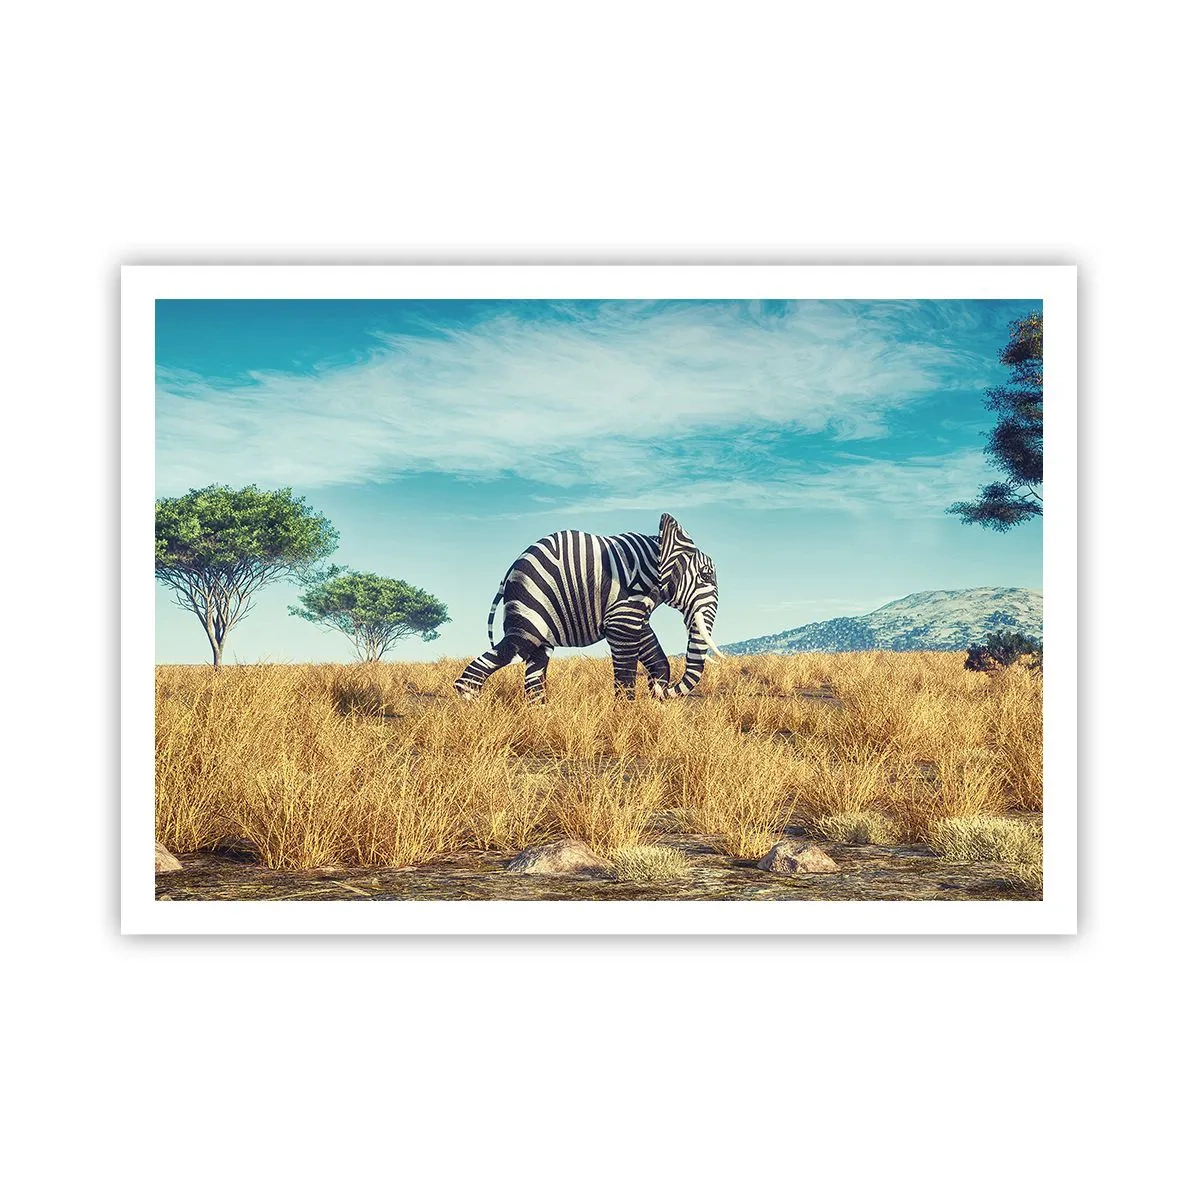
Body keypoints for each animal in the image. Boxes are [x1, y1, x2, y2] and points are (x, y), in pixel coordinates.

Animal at [453, 513, 723, 702]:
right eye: (706, 575)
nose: (659, 691)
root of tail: (508, 571)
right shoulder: (623, 606)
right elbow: (626, 668)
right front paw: (626, 718)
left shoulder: (635, 610)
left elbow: (656, 656)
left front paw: (655, 701)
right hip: (530, 604)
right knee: (515, 649)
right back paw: (472, 707)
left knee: (536, 667)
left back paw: (540, 719)